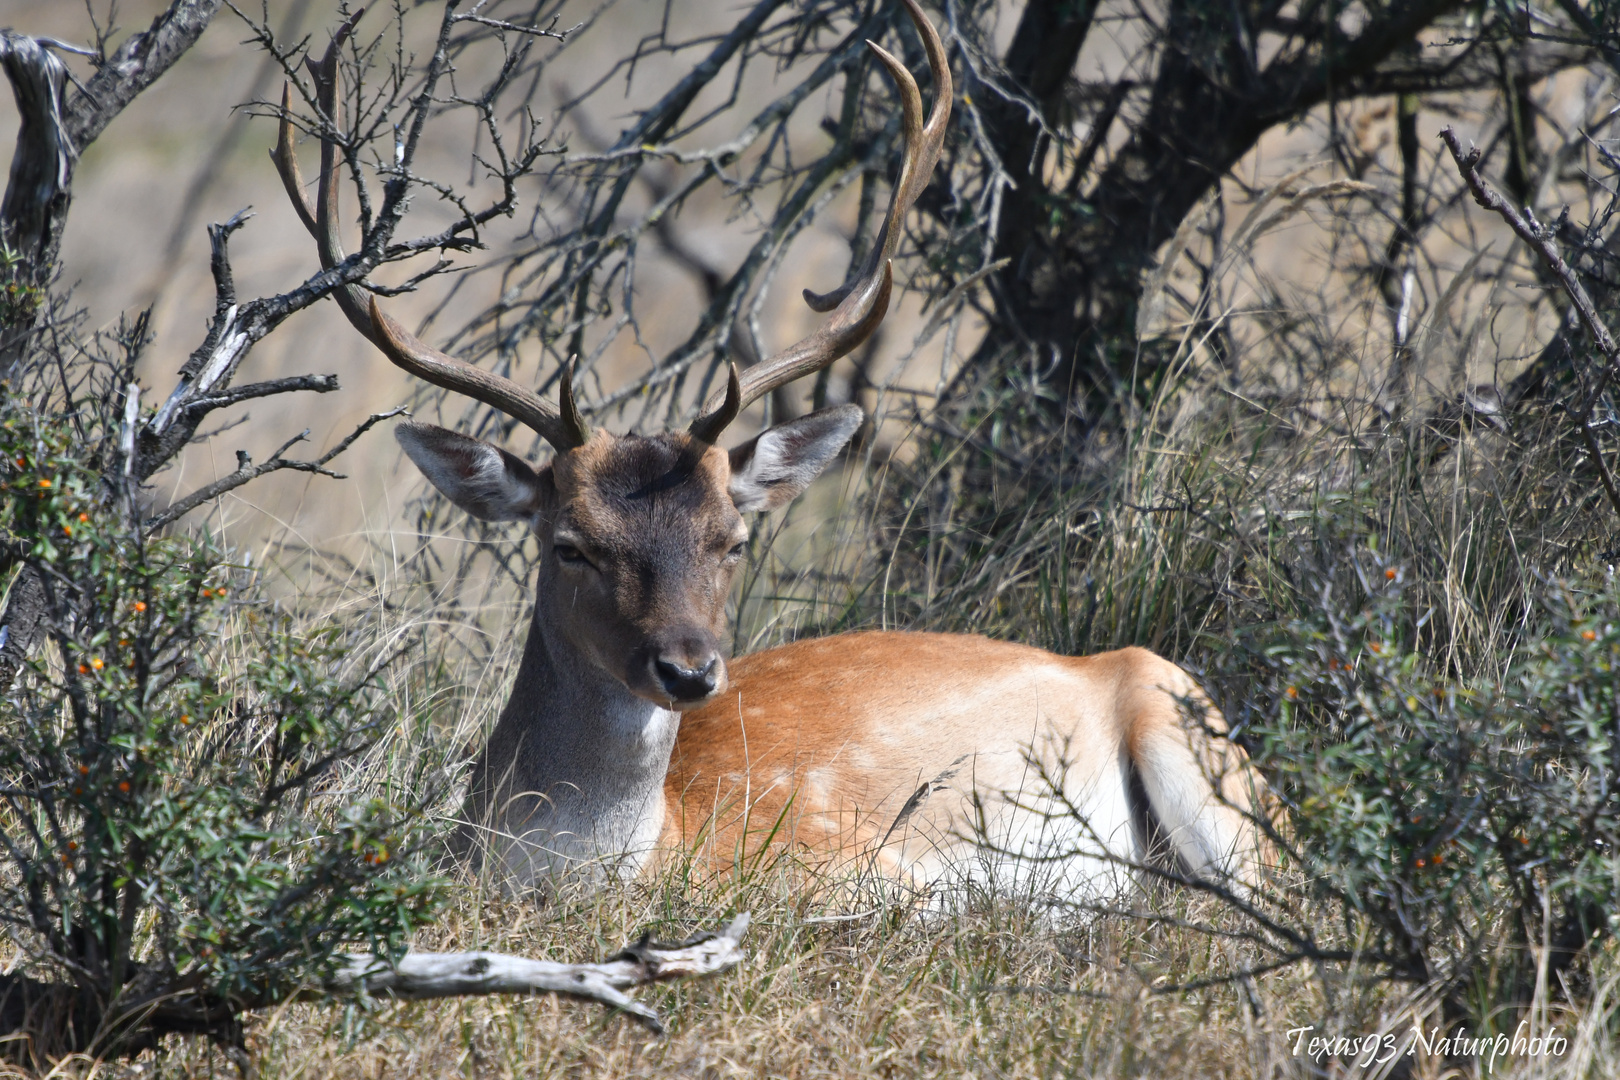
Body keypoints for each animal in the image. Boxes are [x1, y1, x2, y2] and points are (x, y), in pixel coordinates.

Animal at [272, 0, 1270, 893]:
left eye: (732, 540)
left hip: (1208, 767)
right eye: (570, 545)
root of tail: (1111, 656)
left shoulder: (872, 869)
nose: (687, 669)